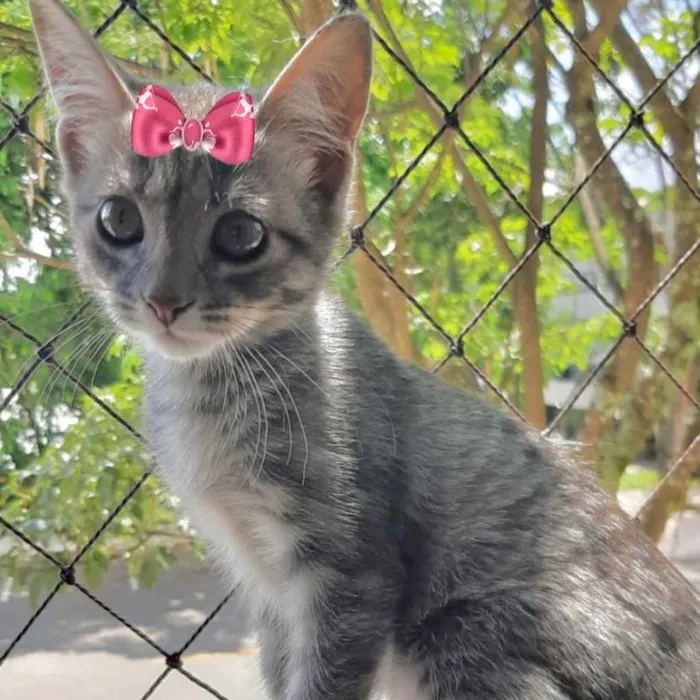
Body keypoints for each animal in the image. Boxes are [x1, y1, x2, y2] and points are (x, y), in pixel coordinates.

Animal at [28, 0, 700, 696]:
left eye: (241, 233)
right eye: (118, 219)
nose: (163, 300)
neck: (217, 397)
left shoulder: (350, 579)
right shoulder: (269, 595)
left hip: (468, 638)